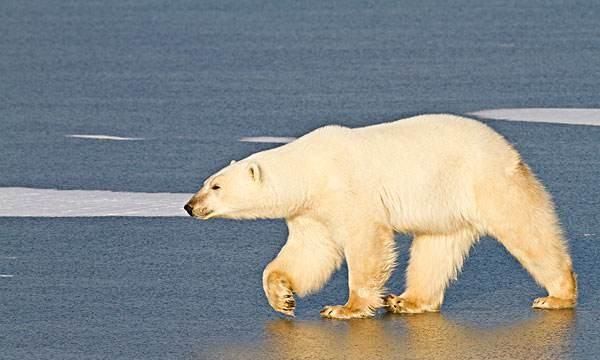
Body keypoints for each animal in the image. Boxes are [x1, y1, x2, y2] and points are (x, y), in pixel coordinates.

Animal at [184, 114, 576, 320]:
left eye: (216, 186)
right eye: (205, 182)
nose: (189, 205)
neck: (309, 170)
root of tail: (508, 150)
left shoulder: (348, 190)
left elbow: (366, 241)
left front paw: (345, 307)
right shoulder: (311, 211)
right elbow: (309, 253)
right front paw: (283, 297)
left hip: (487, 182)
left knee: (528, 232)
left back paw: (556, 295)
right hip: (445, 208)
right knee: (434, 251)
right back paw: (407, 300)